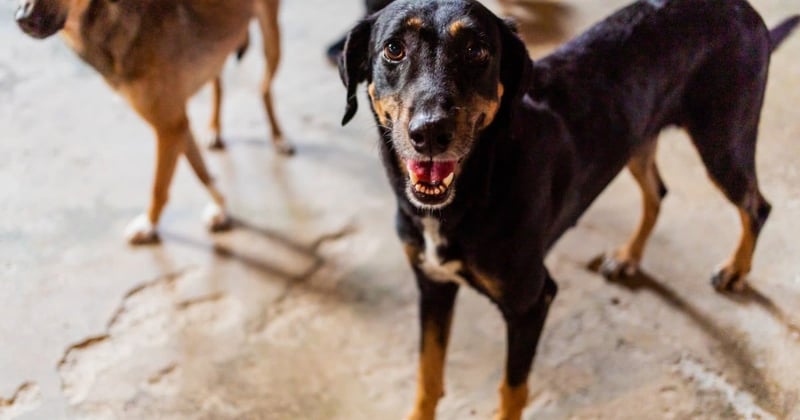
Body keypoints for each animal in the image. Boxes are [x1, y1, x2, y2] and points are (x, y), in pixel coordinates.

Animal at [15, 0, 292, 244]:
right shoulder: (177, 124)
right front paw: (221, 207)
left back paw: (279, 137)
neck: (111, 20)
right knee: (218, 82)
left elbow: (159, 186)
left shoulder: (169, 127)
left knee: (264, 88)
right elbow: (201, 171)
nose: (21, 18)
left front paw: (149, 225)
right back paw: (214, 129)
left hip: (271, 37)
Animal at [340, 0, 800, 418]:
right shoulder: (433, 285)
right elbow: (428, 376)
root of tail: (744, 9)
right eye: (393, 48)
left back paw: (735, 270)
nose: (431, 133)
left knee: (757, 206)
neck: (477, 185)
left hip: (723, 142)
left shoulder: (532, 303)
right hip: (636, 139)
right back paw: (628, 257)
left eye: (476, 50)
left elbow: (512, 390)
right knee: (658, 192)